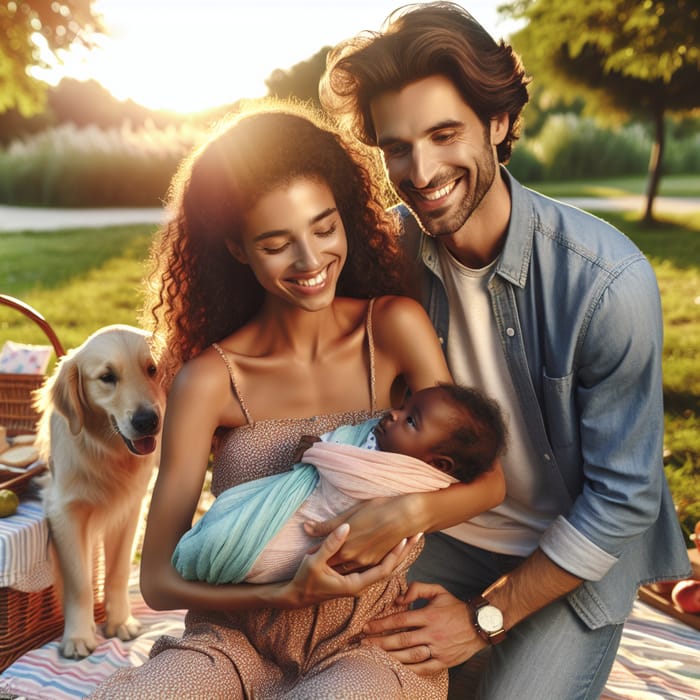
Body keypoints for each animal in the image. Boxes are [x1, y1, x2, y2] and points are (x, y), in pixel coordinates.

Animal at [34, 326, 165, 660]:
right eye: (107, 377)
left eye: (152, 369)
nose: (147, 421)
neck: (106, 453)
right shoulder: (64, 512)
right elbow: (79, 583)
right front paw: (78, 636)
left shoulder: (130, 510)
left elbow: (117, 572)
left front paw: (120, 622)